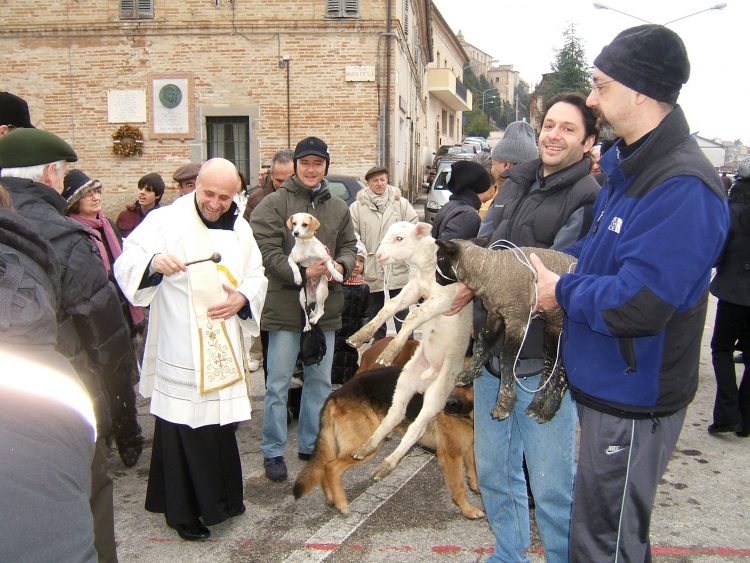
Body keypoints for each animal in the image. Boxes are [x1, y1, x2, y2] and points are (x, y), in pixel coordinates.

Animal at [290, 366, 484, 520]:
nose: (449, 405)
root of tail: (336, 394)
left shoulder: (469, 447)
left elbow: (474, 470)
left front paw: (478, 490)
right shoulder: (451, 455)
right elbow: (458, 486)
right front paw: (468, 510)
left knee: (324, 464)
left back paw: (331, 499)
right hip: (367, 446)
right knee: (331, 466)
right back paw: (342, 504)